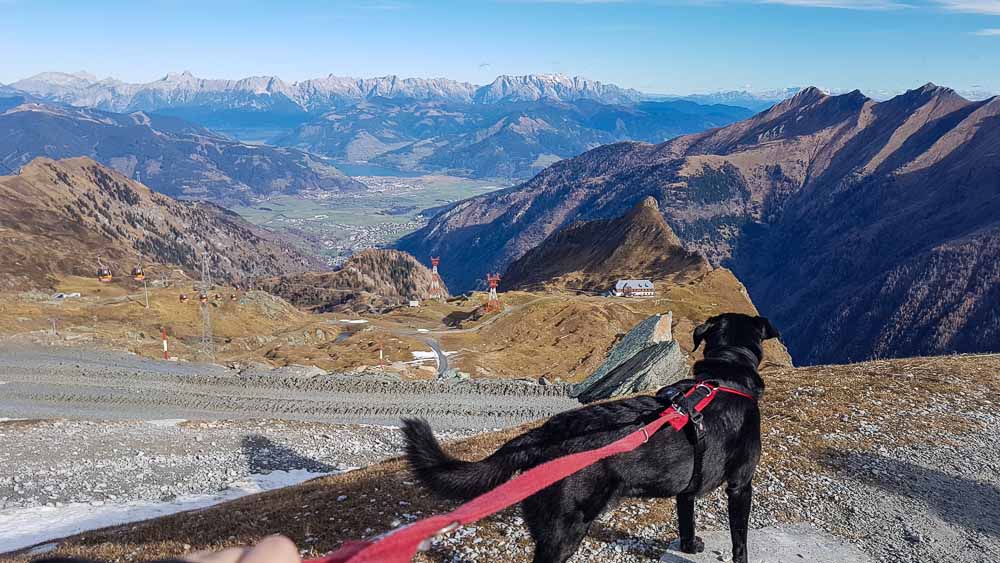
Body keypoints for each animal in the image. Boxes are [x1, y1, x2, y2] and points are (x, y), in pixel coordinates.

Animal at [404, 312, 780, 563]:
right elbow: (740, 540)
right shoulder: (741, 485)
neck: (726, 375)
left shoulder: (686, 489)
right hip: (564, 530)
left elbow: (686, 522)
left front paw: (690, 547)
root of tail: (542, 435)